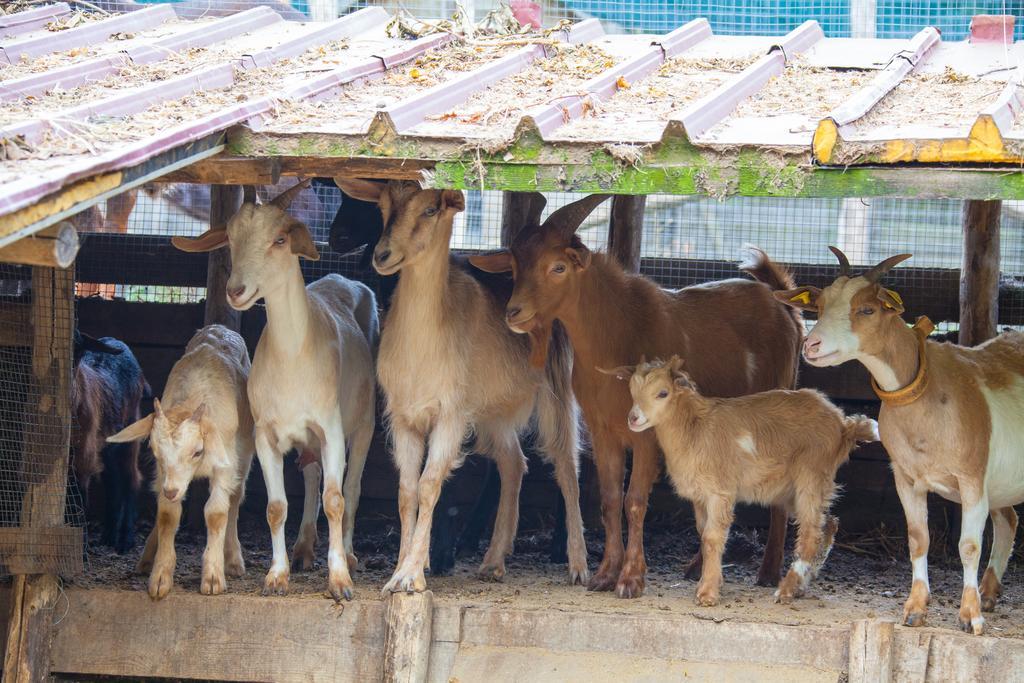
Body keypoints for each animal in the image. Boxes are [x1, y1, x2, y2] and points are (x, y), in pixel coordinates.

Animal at [108, 325, 253, 598]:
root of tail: (220, 328)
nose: (172, 490)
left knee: (236, 498)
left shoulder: (224, 464)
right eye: (154, 451)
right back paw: (147, 557)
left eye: (197, 451)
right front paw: (160, 577)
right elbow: (167, 515)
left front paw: (213, 577)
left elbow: (217, 512)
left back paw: (233, 559)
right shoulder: (165, 476)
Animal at [473, 197, 806, 598]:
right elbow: (609, 500)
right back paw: (697, 567)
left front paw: (631, 578)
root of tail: (783, 305)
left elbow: (634, 502)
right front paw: (605, 574)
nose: (514, 313)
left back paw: (769, 571)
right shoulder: (603, 431)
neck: (616, 336)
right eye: (514, 267)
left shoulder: (647, 435)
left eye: (558, 267)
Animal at [602, 356, 876, 606]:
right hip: (792, 489)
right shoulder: (700, 496)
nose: (633, 418)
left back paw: (786, 589)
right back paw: (802, 584)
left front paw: (707, 594)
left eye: (663, 393)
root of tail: (843, 425)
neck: (695, 429)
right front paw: (711, 582)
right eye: (632, 391)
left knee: (810, 533)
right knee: (827, 524)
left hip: (812, 475)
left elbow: (713, 537)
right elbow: (704, 533)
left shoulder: (720, 491)